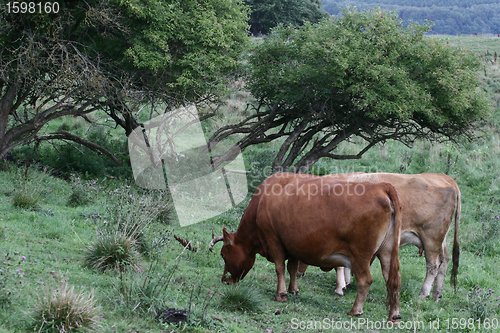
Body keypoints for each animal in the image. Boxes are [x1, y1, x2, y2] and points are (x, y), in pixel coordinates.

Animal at [210, 172, 402, 320]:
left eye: (223, 254)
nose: (225, 280)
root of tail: (381, 186)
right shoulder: (293, 244)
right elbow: (292, 268)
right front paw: (293, 290)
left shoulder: (273, 238)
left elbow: (280, 268)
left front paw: (281, 294)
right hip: (387, 252)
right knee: (392, 280)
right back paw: (394, 314)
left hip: (360, 255)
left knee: (365, 280)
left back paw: (355, 311)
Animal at [296, 171, 460, 300]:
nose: (298, 273)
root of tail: (446, 178)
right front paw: (346, 284)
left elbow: (339, 266)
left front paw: (339, 288)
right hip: (440, 239)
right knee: (444, 260)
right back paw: (436, 294)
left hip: (431, 238)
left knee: (433, 264)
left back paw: (423, 293)